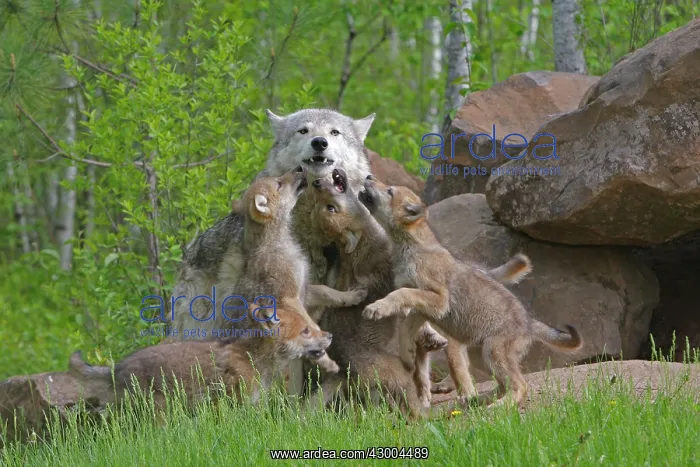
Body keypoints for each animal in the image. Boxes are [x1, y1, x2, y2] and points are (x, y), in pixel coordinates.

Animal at [359, 177, 583, 407]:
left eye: (389, 191)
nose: (368, 177)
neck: (410, 247)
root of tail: (529, 324)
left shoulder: (438, 299)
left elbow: (400, 294)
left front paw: (376, 308)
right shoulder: (425, 309)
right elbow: (405, 328)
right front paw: (407, 354)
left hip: (493, 353)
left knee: (519, 385)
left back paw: (496, 407)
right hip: (481, 355)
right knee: (500, 384)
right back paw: (477, 400)